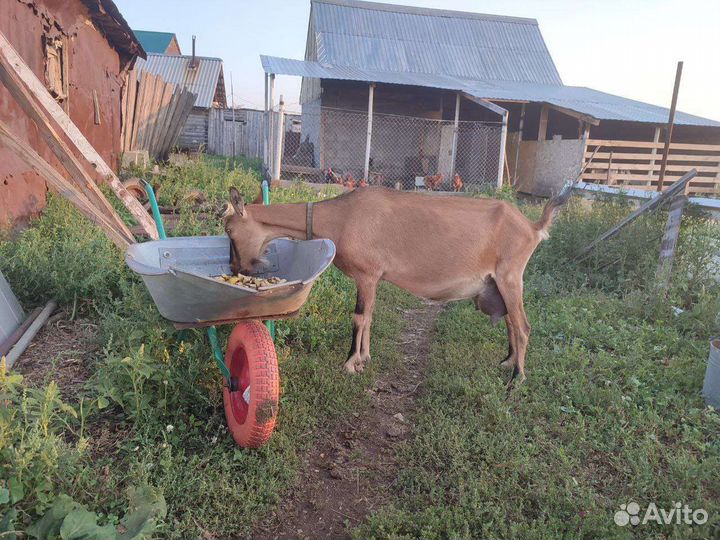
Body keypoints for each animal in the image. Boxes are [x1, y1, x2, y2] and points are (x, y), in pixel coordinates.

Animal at [224, 186, 570, 386]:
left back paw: (517, 378)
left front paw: (350, 363)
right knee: (512, 322)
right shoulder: (373, 279)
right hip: (500, 283)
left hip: (511, 276)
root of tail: (533, 227)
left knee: (523, 326)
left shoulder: (366, 274)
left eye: (228, 228)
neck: (342, 217)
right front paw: (365, 359)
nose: (236, 268)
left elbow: (359, 318)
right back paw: (508, 362)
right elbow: (370, 317)